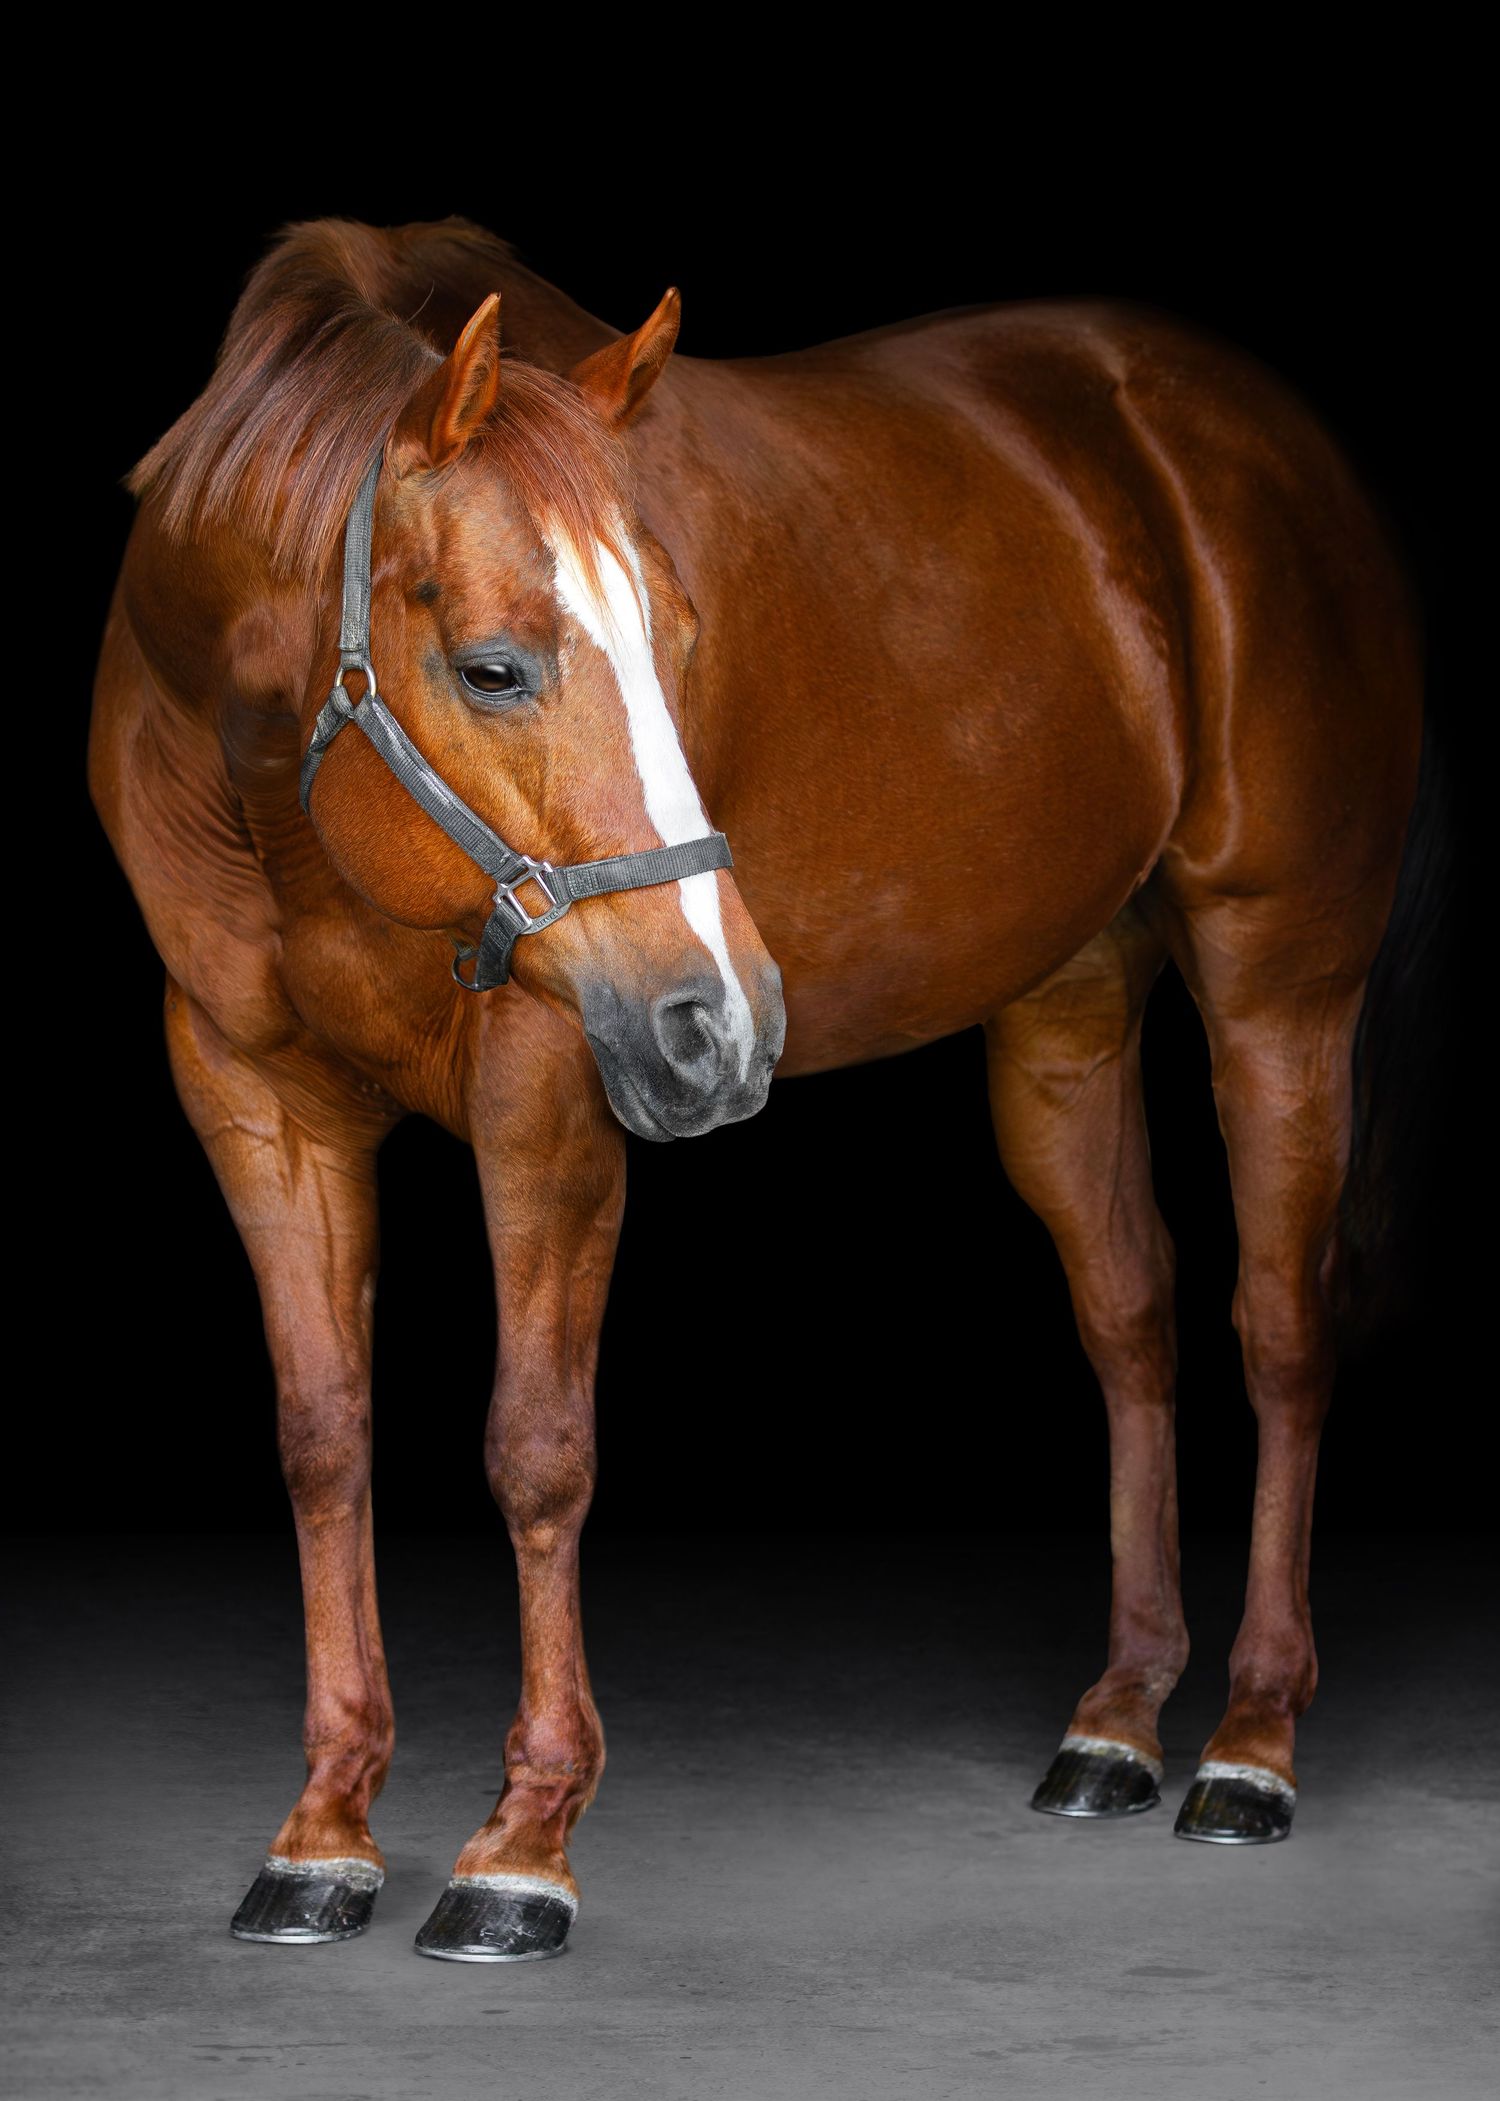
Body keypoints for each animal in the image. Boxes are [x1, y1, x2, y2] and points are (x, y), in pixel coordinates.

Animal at [90, 215, 1423, 1960]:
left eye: (680, 637)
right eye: (493, 666)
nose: (724, 1020)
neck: (283, 797)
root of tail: (1252, 433)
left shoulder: (549, 1095)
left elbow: (538, 1447)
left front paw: (521, 1847)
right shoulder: (252, 1094)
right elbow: (323, 1438)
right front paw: (324, 1829)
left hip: (1278, 986)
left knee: (1279, 1331)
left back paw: (1253, 1741)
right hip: (1064, 1009)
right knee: (1131, 1315)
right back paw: (1119, 1718)